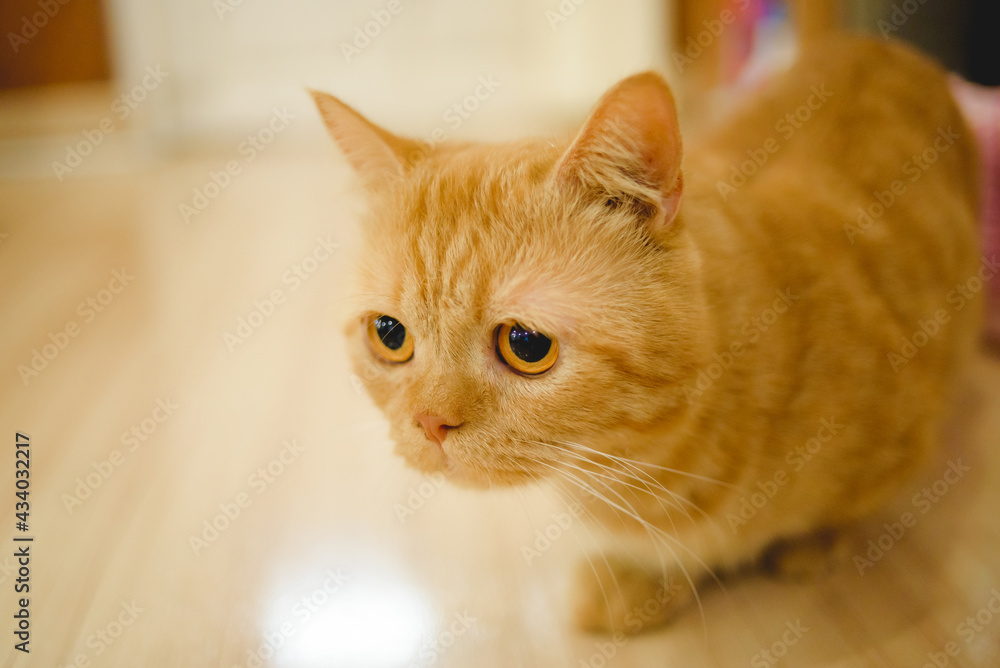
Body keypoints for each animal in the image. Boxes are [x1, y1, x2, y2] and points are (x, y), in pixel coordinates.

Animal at [314, 35, 984, 632]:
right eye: (390, 335)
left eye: (526, 345)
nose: (429, 423)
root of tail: (876, 42)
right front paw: (639, 578)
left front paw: (814, 543)